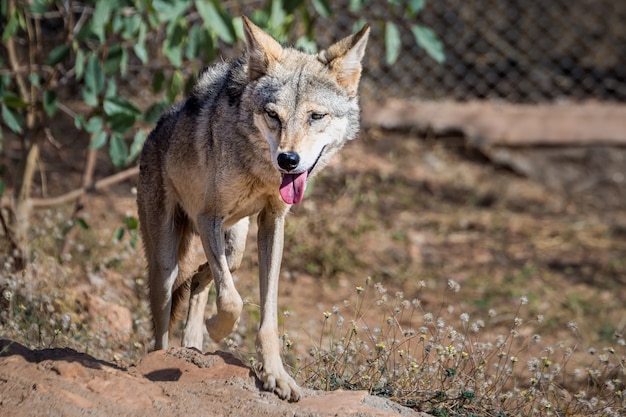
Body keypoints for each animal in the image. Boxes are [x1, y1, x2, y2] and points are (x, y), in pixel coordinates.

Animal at [136, 16, 368, 400]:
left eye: (316, 116)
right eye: (273, 115)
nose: (288, 159)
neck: (261, 172)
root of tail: (154, 131)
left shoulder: (272, 222)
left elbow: (267, 310)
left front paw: (276, 375)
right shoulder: (208, 217)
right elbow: (232, 300)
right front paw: (218, 329)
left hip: (236, 245)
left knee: (201, 279)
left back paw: (192, 346)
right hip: (167, 261)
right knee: (164, 323)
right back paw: (169, 354)